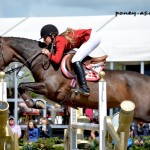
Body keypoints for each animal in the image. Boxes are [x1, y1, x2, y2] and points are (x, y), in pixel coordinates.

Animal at [0, 36, 149, 122]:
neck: (43, 60)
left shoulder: (48, 88)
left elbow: (22, 85)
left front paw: (34, 104)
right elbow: (23, 87)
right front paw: (37, 104)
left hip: (142, 113)